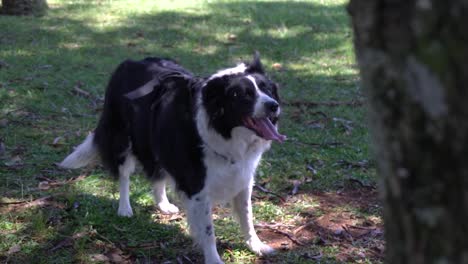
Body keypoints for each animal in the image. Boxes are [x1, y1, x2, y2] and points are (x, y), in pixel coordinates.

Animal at [58, 52, 286, 262]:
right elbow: (208, 231)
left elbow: (247, 218)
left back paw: (163, 204)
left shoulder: (243, 177)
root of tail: (130, 62)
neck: (223, 130)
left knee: (157, 172)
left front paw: (257, 246)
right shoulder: (198, 187)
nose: (273, 105)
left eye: (266, 89)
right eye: (242, 95)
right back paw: (125, 208)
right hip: (123, 138)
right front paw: (214, 260)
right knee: (124, 175)